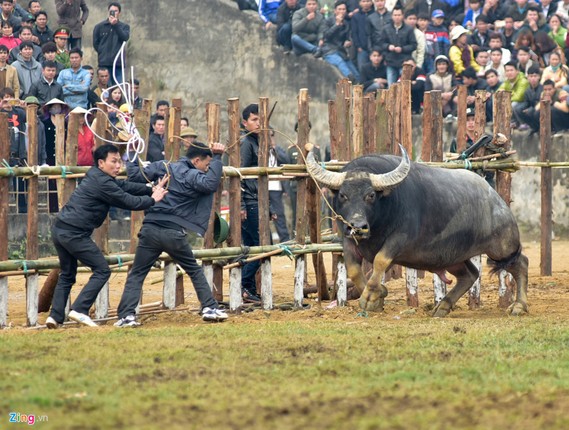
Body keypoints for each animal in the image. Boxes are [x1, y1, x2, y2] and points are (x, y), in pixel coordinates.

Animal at [306, 146, 528, 318]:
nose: (358, 226)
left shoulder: (399, 239)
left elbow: (380, 260)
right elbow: (353, 270)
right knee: (470, 274)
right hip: (451, 256)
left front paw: (370, 297)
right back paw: (442, 307)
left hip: (502, 247)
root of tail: (497, 200)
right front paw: (379, 295)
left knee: (520, 263)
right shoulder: (348, 240)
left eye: (370, 195)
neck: (378, 222)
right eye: (343, 195)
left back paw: (519, 306)